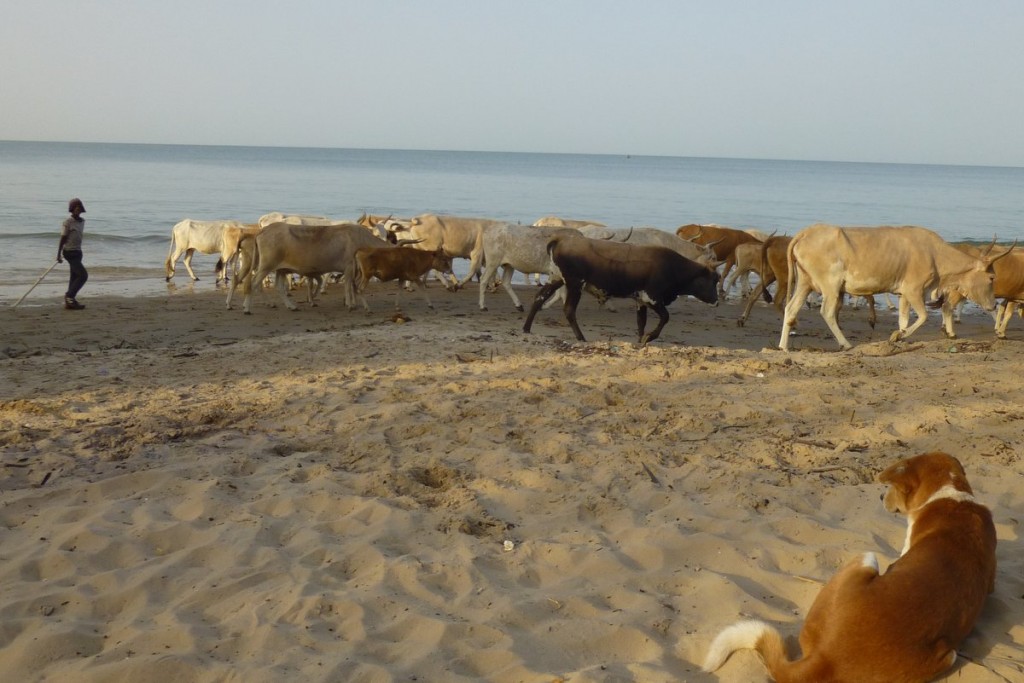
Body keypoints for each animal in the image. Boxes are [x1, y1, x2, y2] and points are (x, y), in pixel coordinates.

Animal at [520, 235, 720, 344]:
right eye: (713, 280)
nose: (717, 302)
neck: (673, 267)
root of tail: (561, 240)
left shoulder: (641, 300)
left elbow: (641, 322)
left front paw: (641, 341)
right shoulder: (652, 298)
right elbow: (665, 317)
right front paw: (649, 337)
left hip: (556, 279)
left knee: (539, 298)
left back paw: (526, 328)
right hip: (575, 284)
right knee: (569, 310)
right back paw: (581, 337)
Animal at [778, 225, 1011, 350]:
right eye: (991, 277)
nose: (993, 305)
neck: (935, 254)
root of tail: (806, 232)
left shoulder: (904, 294)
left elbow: (903, 319)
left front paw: (899, 335)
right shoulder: (914, 290)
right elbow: (923, 316)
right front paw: (899, 336)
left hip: (805, 283)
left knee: (791, 309)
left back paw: (783, 346)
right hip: (831, 286)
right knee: (827, 312)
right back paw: (845, 343)